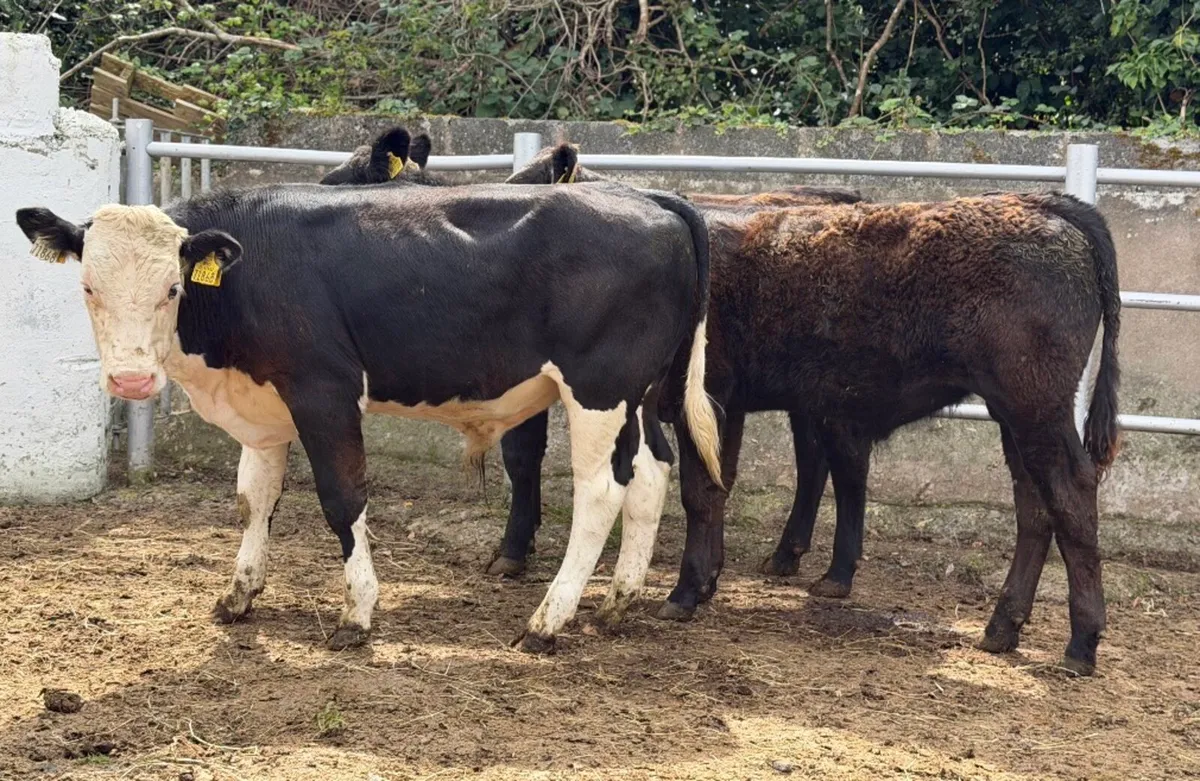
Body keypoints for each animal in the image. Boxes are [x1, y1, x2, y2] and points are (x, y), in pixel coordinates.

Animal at [15, 179, 723, 654]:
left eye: (172, 288)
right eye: (88, 288)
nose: (131, 379)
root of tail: (645, 195)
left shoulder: (323, 391)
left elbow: (341, 498)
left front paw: (357, 613)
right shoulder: (263, 402)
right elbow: (253, 498)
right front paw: (239, 595)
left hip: (598, 389)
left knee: (601, 491)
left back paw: (547, 622)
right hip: (638, 395)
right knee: (651, 475)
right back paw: (617, 605)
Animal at [504, 144, 1121, 676]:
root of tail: (1042, 203)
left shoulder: (704, 399)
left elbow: (702, 491)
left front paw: (686, 591)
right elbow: (717, 486)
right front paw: (705, 582)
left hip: (1036, 406)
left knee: (1069, 494)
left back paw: (1080, 642)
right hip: (1014, 413)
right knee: (1032, 505)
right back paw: (1002, 627)